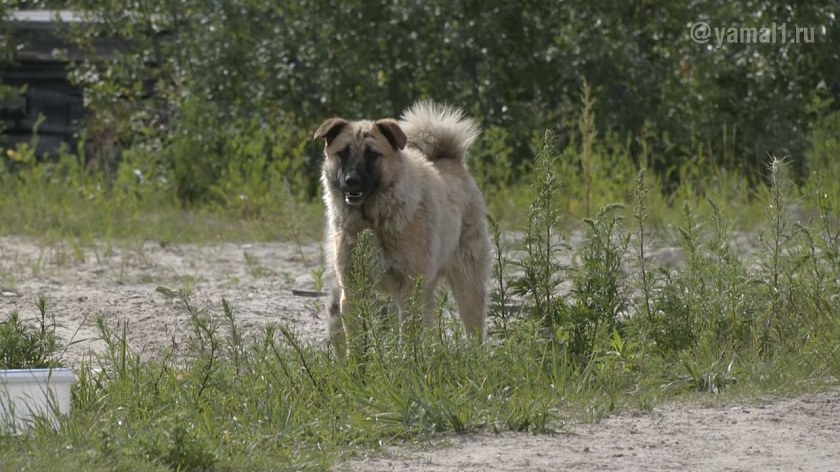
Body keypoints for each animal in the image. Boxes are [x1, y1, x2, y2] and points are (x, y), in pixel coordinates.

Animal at [312, 101, 488, 356]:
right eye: (343, 152)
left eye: (372, 153)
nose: (351, 181)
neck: (372, 223)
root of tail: (450, 159)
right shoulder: (352, 291)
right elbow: (356, 342)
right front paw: (357, 366)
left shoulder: (408, 290)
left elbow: (407, 338)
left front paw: (407, 362)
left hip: (467, 285)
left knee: (474, 330)